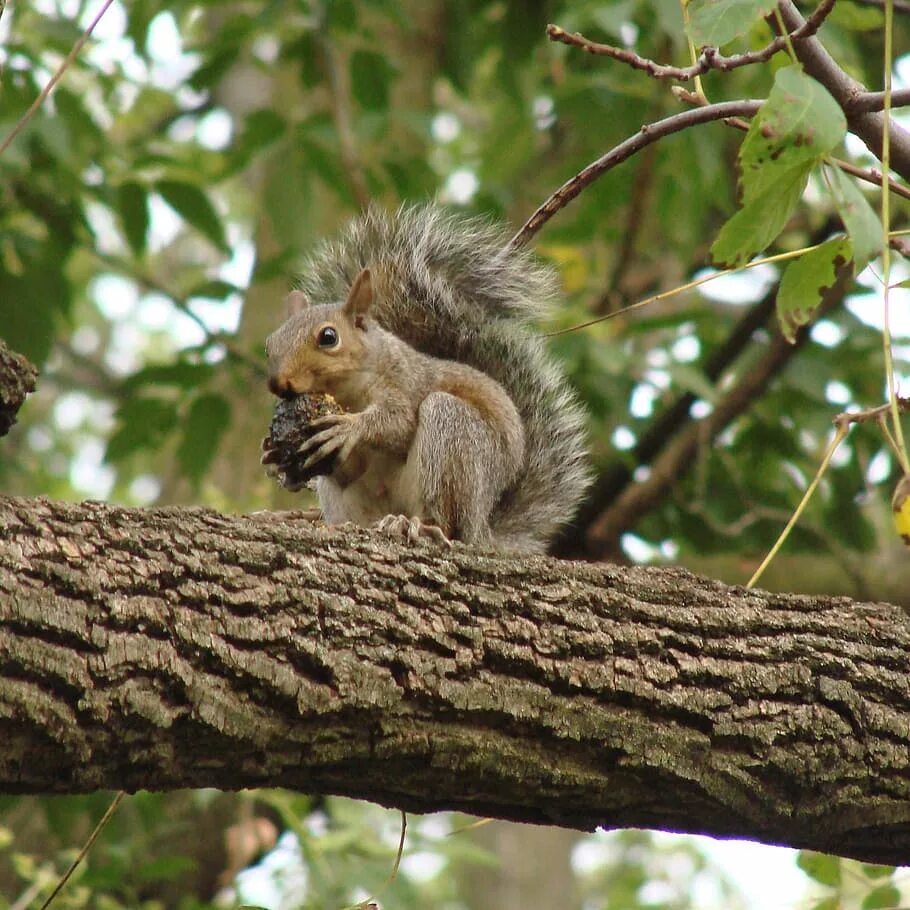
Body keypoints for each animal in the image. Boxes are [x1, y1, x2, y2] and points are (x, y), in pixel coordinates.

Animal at [264, 203, 592, 552]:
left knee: (447, 522)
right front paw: (273, 452)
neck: (347, 393)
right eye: (269, 344)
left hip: (452, 436)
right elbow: (350, 468)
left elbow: (399, 423)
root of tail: (482, 529)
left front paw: (350, 427)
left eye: (328, 337)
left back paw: (419, 526)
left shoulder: (404, 383)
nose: (279, 384)